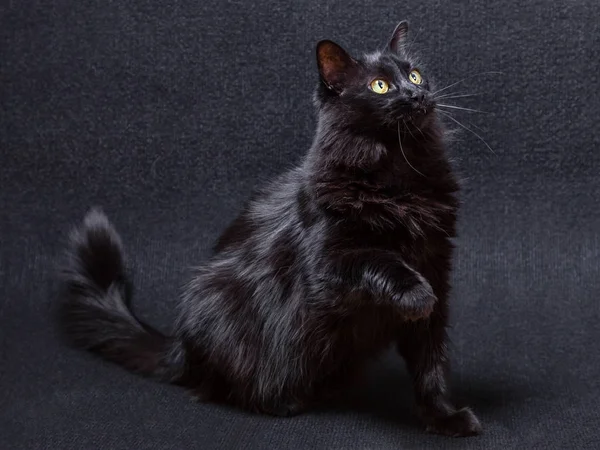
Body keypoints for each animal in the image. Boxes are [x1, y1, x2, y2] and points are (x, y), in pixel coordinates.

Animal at [58, 21, 482, 436]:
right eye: (380, 85)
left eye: (414, 74)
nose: (416, 94)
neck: (398, 174)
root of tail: (181, 347)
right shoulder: (327, 269)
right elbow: (378, 260)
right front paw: (414, 294)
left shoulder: (435, 265)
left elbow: (430, 364)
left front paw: (444, 418)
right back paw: (284, 401)